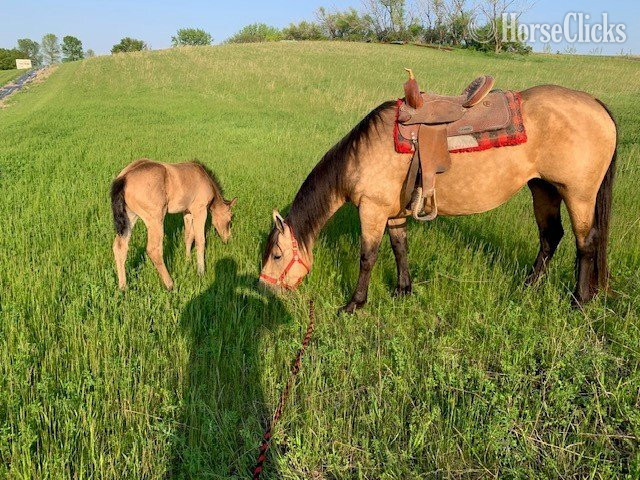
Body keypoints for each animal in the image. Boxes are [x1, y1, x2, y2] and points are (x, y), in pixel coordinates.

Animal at [110, 159, 237, 290]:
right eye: (229, 220)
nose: (227, 240)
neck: (204, 178)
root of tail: (125, 177)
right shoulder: (200, 210)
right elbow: (200, 240)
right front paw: (201, 271)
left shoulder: (187, 212)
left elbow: (188, 237)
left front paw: (187, 260)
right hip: (155, 219)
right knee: (153, 250)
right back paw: (170, 284)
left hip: (130, 217)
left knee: (120, 247)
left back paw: (123, 287)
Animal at [259, 82, 617, 314]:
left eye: (276, 255)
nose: (264, 287)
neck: (362, 153)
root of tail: (596, 103)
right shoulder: (394, 213)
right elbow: (400, 247)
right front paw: (403, 290)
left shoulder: (372, 210)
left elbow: (367, 258)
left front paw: (355, 304)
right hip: (543, 188)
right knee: (550, 237)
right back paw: (529, 286)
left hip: (578, 195)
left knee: (586, 243)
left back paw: (579, 301)